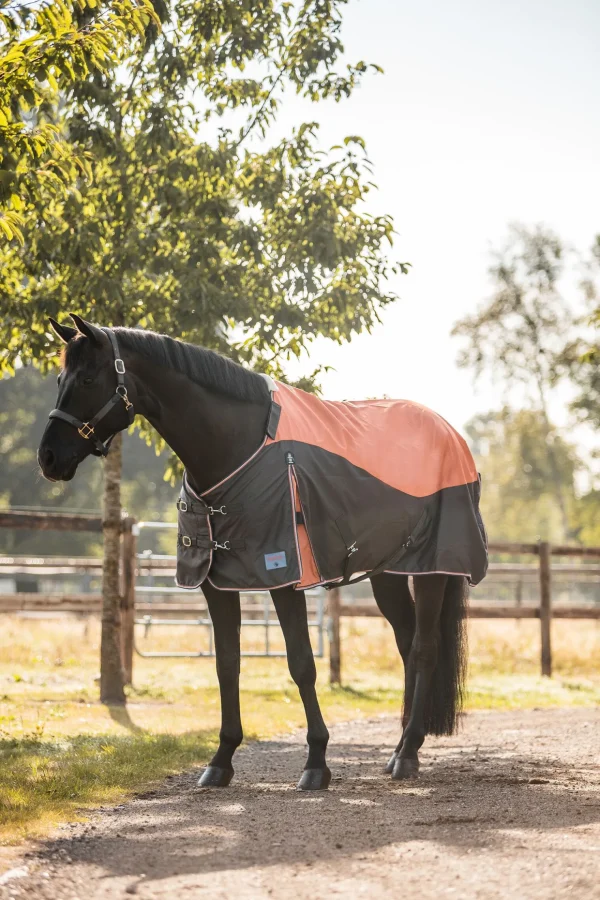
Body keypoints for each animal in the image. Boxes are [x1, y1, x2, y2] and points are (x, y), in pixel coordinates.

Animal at [37, 312, 472, 792]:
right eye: (59, 379)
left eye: (88, 378)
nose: (48, 458)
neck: (235, 448)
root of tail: (450, 433)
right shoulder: (214, 584)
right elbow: (227, 665)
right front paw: (220, 760)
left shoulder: (284, 578)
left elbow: (301, 664)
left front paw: (316, 763)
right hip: (387, 573)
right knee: (407, 643)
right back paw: (400, 749)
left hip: (433, 571)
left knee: (425, 648)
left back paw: (408, 754)